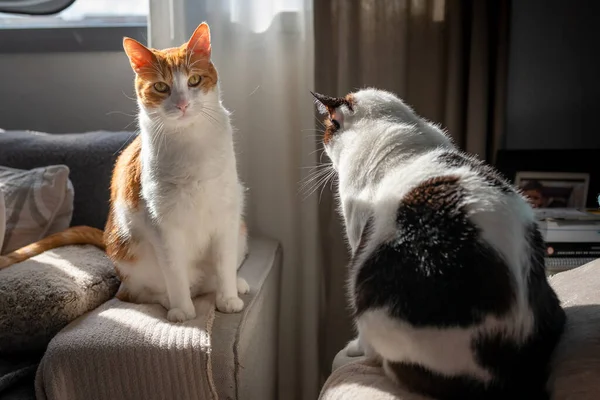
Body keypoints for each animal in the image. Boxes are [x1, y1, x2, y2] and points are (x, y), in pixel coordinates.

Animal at [0, 21, 248, 322]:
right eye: (161, 87)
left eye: (194, 80)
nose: (182, 104)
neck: (190, 144)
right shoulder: (162, 224)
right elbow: (175, 272)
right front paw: (182, 310)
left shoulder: (226, 215)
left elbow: (224, 264)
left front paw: (228, 298)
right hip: (131, 258)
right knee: (133, 293)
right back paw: (168, 300)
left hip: (241, 233)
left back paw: (236, 284)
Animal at [314, 89, 568, 398]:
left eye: (328, 131)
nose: (326, 149)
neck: (388, 128)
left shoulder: (357, 238)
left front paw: (353, 349)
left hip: (370, 293)